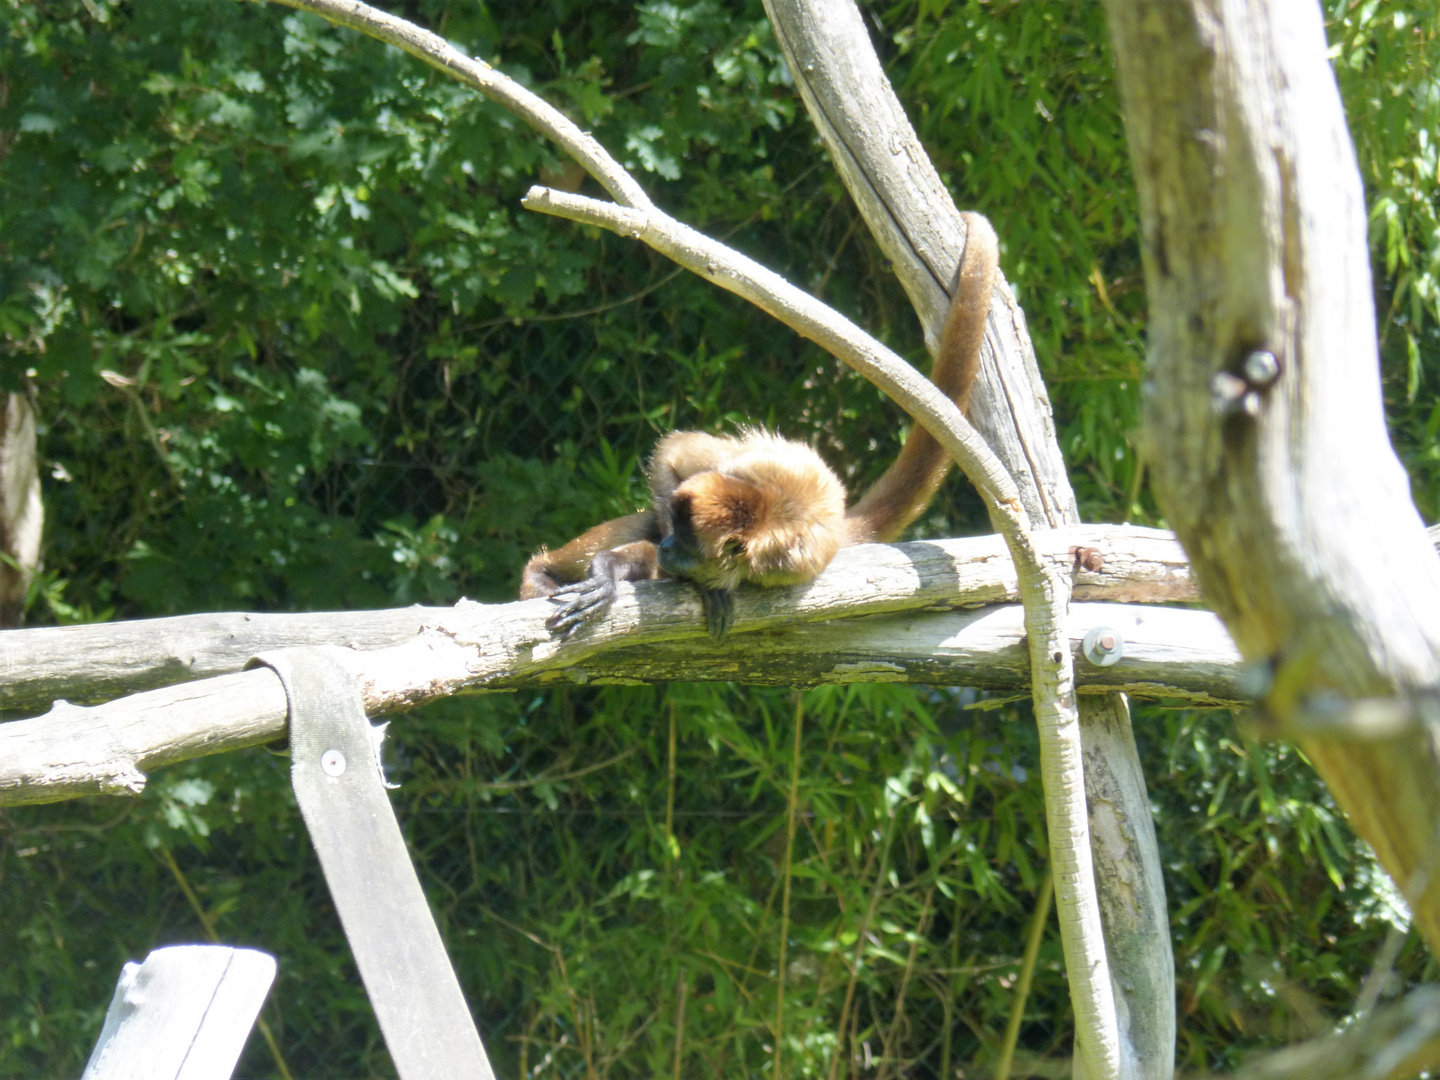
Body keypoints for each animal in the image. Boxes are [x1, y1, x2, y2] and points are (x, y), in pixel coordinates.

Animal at [521, 211, 1002, 639]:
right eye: (679, 528)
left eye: (690, 542)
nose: (671, 546)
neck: (772, 507)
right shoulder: (734, 470)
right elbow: (672, 454)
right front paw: (633, 566)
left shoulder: (789, 566)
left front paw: (684, 576)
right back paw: (549, 573)